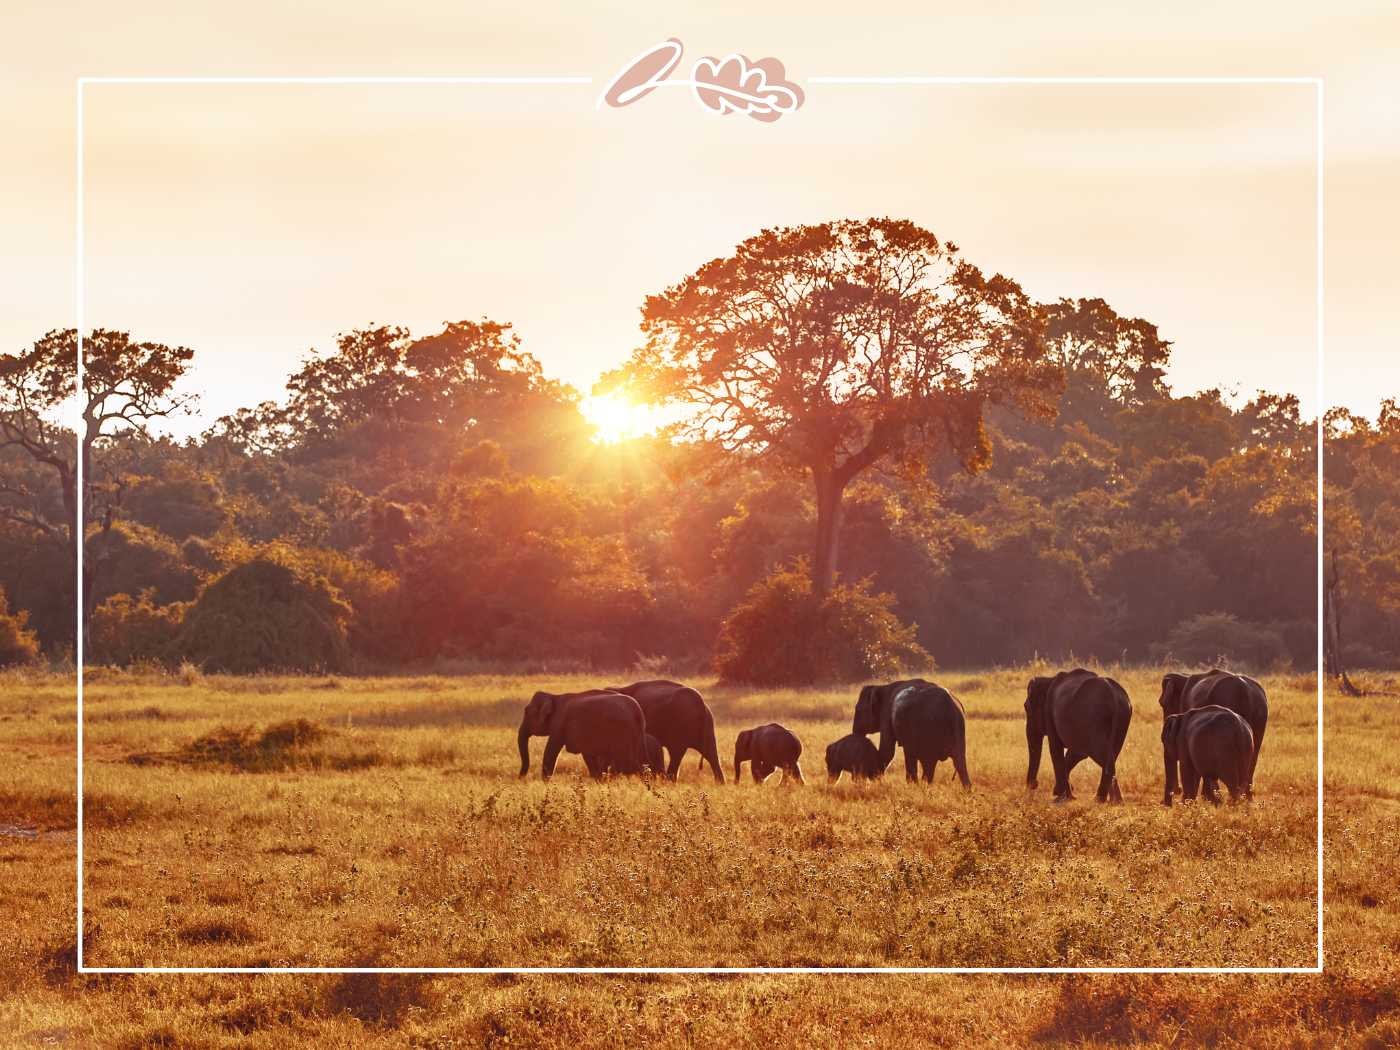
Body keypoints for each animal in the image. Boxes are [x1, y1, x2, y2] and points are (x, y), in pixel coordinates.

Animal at [515, 691, 644, 784]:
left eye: (527, 712)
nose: (520, 779)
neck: (554, 696)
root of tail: (637, 709)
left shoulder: (559, 724)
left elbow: (551, 750)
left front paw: (545, 783)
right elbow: (588, 755)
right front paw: (598, 781)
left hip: (621, 732)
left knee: (626, 763)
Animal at [1024, 669, 1131, 812]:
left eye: (1026, 707)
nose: (1034, 785)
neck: (1048, 679)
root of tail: (1114, 697)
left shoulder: (1050, 713)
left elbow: (1056, 749)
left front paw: (1061, 796)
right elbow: (1076, 753)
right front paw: (1066, 794)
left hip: (1095, 719)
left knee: (1104, 756)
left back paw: (1101, 800)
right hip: (1122, 720)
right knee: (1112, 754)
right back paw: (1115, 802)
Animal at [1159, 669, 1271, 800]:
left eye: (1162, 703)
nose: (1177, 790)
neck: (1184, 676)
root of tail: (1245, 691)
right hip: (1260, 719)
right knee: (1253, 756)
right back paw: (1247, 797)